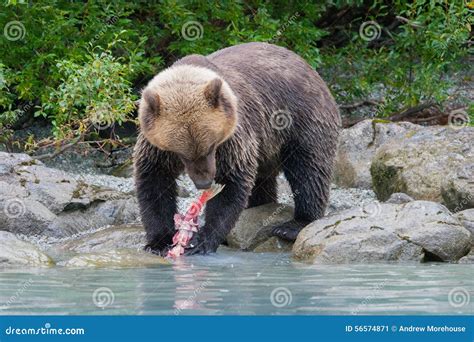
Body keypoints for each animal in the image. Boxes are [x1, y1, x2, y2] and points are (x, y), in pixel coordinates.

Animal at [133, 42, 340, 254]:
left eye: (211, 146)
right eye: (182, 154)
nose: (204, 183)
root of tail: (310, 69)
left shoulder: (234, 135)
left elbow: (231, 180)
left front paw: (200, 241)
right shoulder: (155, 146)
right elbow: (154, 179)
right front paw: (159, 241)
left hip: (301, 120)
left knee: (309, 170)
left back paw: (294, 225)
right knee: (263, 181)